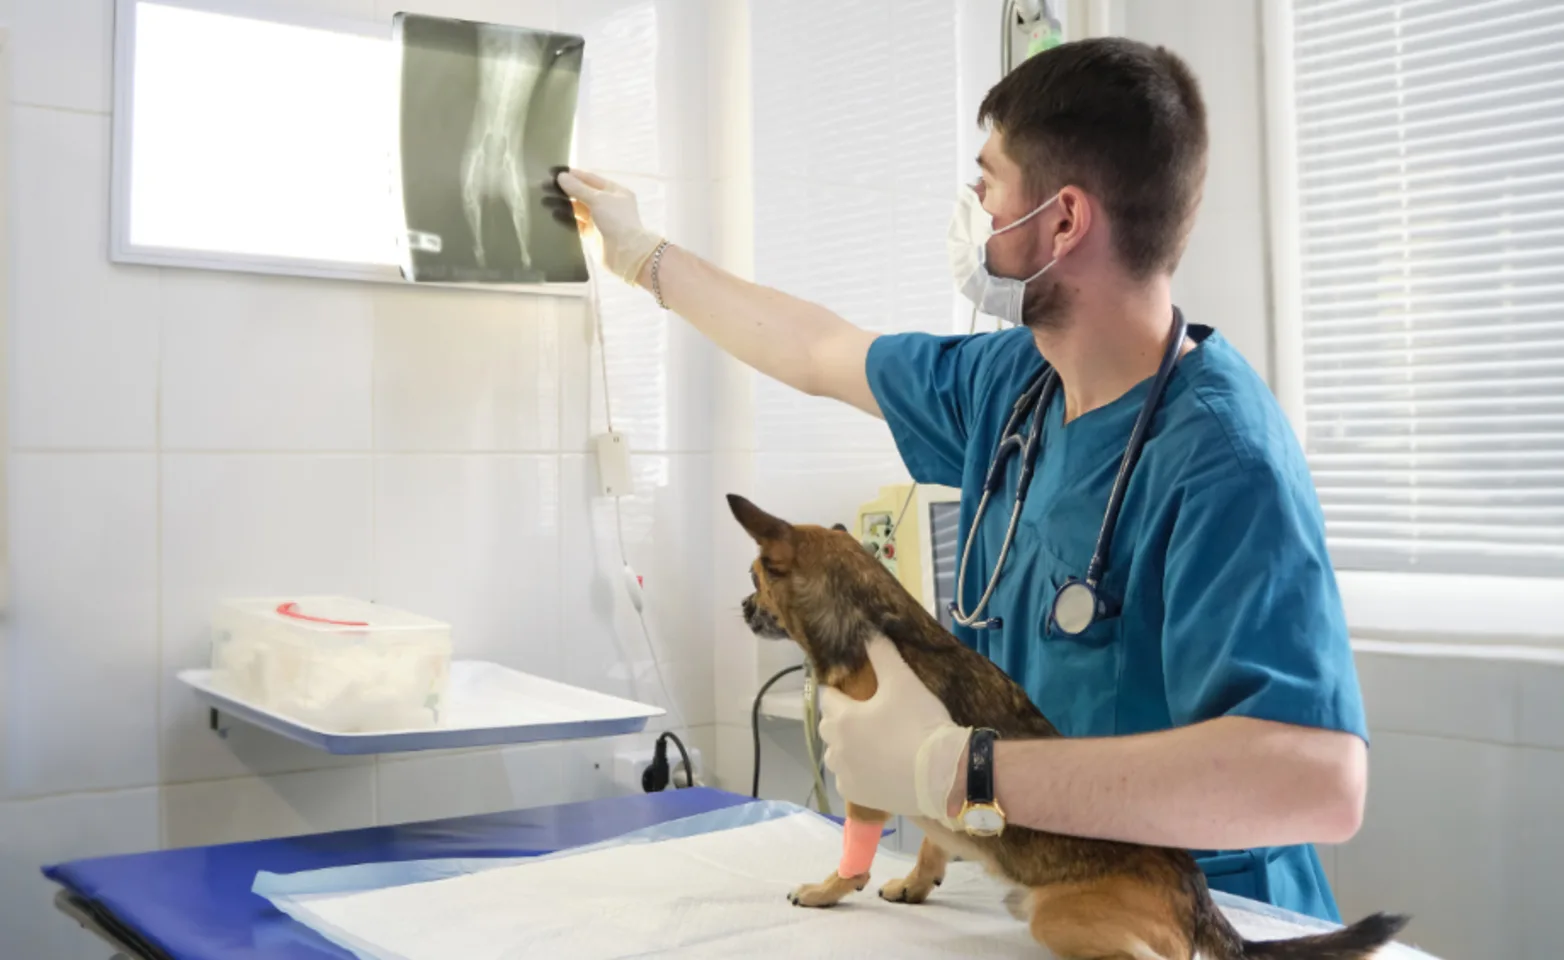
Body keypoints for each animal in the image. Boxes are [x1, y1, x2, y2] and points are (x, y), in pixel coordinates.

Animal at [725, 497, 1413, 960]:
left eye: (756, 576)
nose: (741, 606)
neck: (873, 619)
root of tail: (1197, 895)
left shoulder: (867, 785)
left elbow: (856, 853)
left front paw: (829, 889)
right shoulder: (930, 801)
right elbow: (931, 841)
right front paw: (917, 883)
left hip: (1060, 918)